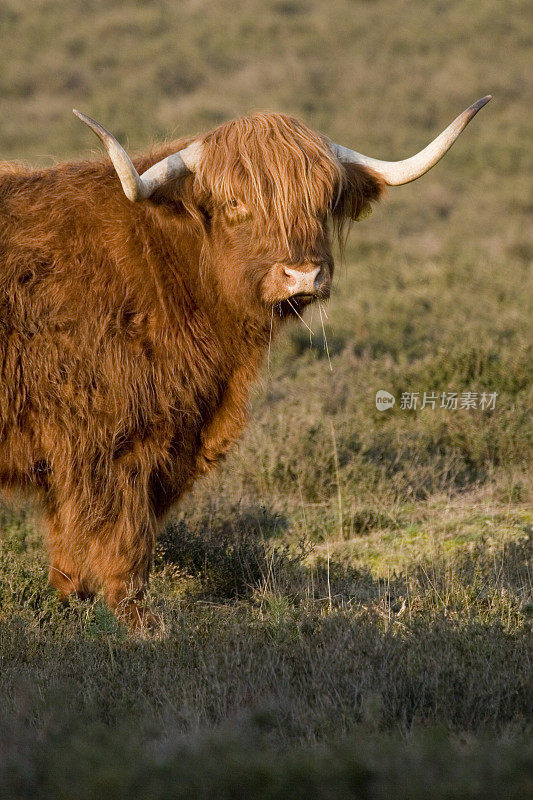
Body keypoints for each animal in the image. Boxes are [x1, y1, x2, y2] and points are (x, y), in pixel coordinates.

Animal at [0, 95, 490, 632]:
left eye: (322, 201)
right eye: (236, 203)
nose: (303, 274)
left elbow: (72, 544)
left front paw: (73, 603)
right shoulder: (110, 440)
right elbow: (122, 537)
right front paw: (141, 624)